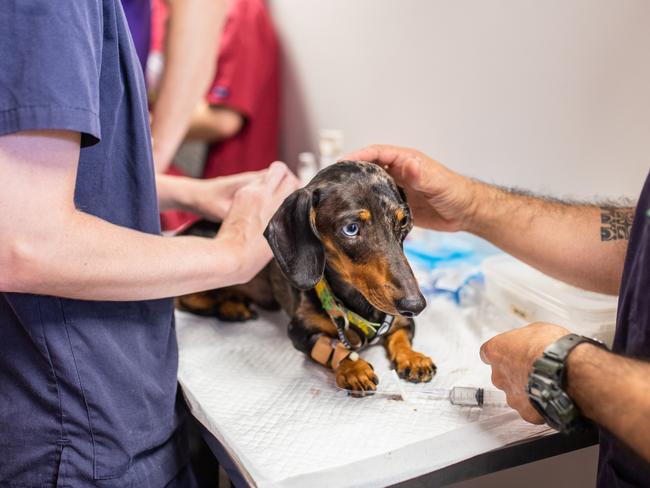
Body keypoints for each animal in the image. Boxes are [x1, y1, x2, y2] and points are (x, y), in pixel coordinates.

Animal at [176, 162, 436, 394]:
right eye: (351, 228)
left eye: (404, 221)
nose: (416, 305)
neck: (357, 304)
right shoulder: (299, 331)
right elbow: (331, 346)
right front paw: (353, 368)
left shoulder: (398, 320)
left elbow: (401, 335)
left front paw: (413, 358)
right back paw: (231, 307)